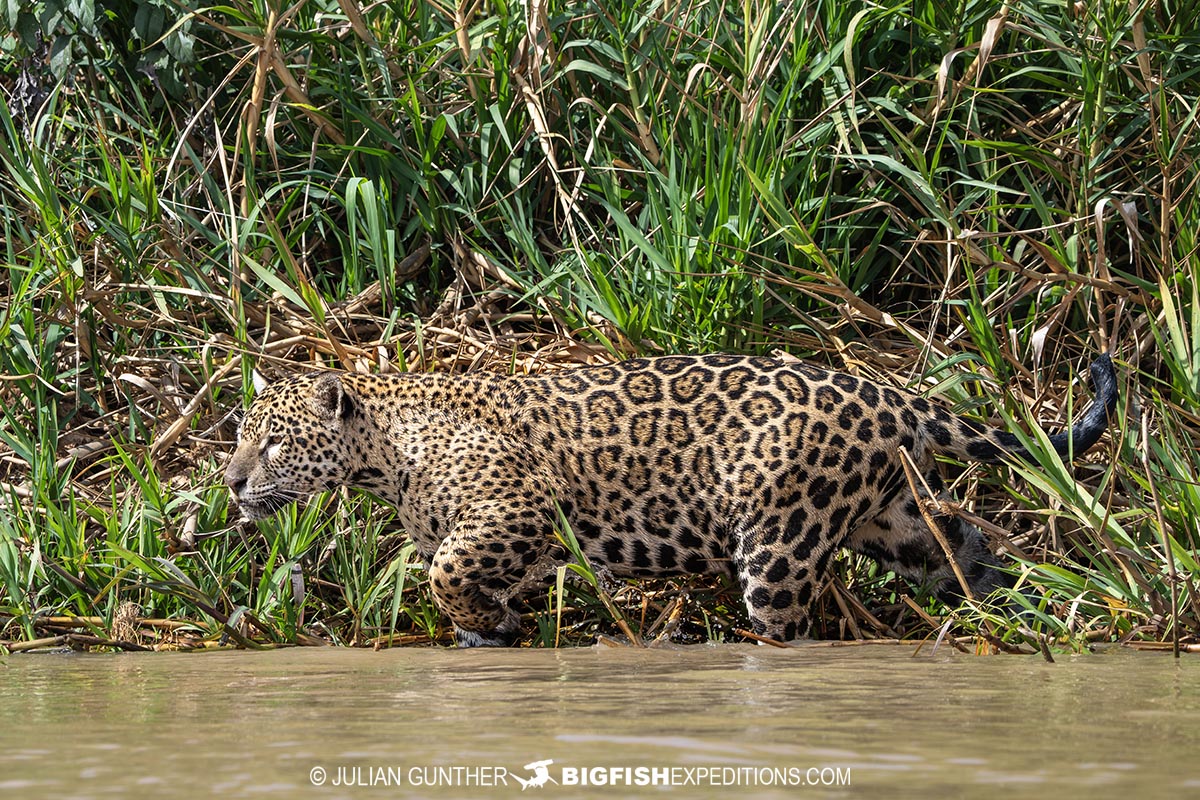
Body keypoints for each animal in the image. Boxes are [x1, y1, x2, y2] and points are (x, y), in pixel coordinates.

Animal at [224, 353, 1117, 646]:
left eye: (273, 443)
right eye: (241, 436)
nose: (230, 481)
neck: (382, 448)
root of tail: (885, 391)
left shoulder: (517, 504)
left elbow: (445, 572)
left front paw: (491, 620)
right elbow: (458, 583)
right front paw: (493, 630)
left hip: (782, 542)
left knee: (789, 629)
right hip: (890, 518)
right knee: (963, 547)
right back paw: (1021, 611)